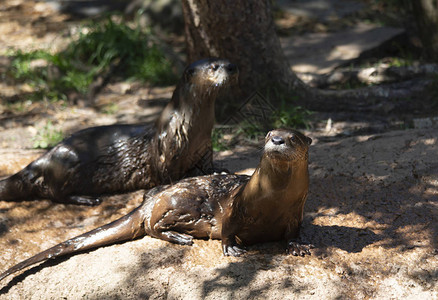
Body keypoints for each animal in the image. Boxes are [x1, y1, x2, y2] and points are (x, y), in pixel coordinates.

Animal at [0, 57, 238, 205]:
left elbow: (208, 163)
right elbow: (170, 176)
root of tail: (45, 157)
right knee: (55, 193)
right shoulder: (166, 150)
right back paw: (87, 199)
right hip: (68, 163)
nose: (232, 66)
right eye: (214, 66)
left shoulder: (205, 146)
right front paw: (192, 176)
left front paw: (220, 170)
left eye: (226, 59)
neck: (191, 127)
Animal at [0, 127, 312, 282]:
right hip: (181, 205)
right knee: (151, 225)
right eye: (268, 134)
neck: (271, 197)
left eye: (293, 138)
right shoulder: (236, 208)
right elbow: (227, 229)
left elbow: (294, 232)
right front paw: (231, 248)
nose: (277, 139)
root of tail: (152, 200)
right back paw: (180, 237)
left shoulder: (295, 213)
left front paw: (298, 246)